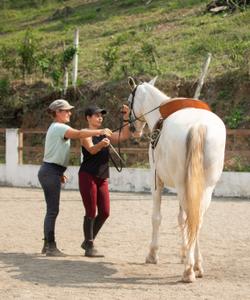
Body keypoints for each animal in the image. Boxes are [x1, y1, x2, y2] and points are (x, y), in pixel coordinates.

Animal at [128, 76, 226, 282]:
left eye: (128, 101)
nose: (133, 129)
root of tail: (198, 125)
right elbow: (183, 219)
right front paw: (184, 252)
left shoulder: (156, 181)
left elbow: (157, 218)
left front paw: (153, 254)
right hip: (205, 188)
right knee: (198, 219)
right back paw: (196, 265)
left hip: (182, 186)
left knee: (192, 217)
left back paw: (188, 270)